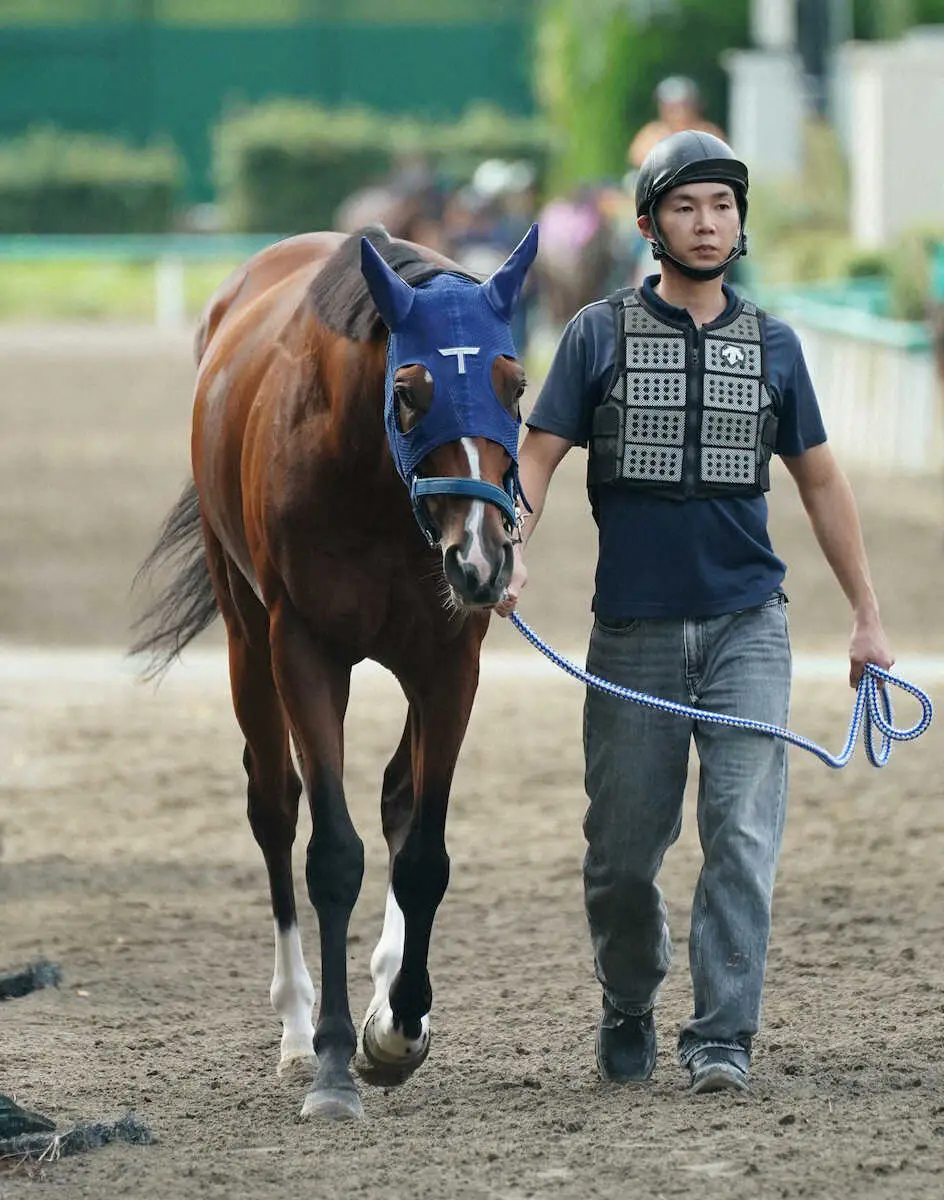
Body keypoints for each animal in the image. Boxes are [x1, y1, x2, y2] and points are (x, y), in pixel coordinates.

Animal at [131, 220, 539, 1118]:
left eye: (516, 384)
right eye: (411, 391)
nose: (483, 559)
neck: (380, 492)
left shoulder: (449, 661)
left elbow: (423, 852)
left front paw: (399, 1029)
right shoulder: (305, 649)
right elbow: (332, 854)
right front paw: (330, 1063)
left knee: (393, 796)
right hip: (248, 635)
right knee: (274, 806)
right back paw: (295, 1024)